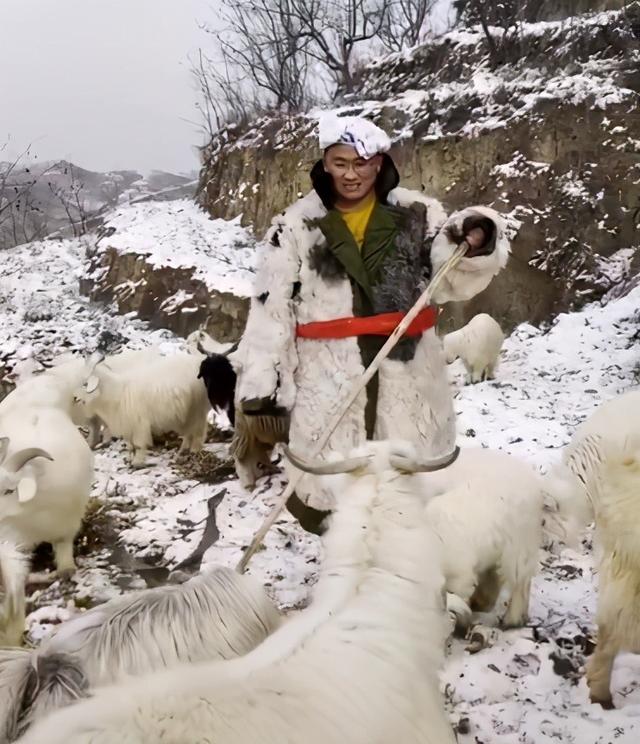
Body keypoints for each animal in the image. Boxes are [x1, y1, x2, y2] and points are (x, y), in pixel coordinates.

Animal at [74, 350, 210, 464]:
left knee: (198, 431)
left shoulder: (139, 423)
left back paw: (194, 450)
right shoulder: (127, 425)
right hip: (186, 414)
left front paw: (137, 462)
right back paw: (183, 450)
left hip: (197, 408)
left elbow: (138, 445)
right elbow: (130, 445)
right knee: (189, 432)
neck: (118, 392)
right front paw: (130, 459)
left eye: (85, 383)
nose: (74, 398)